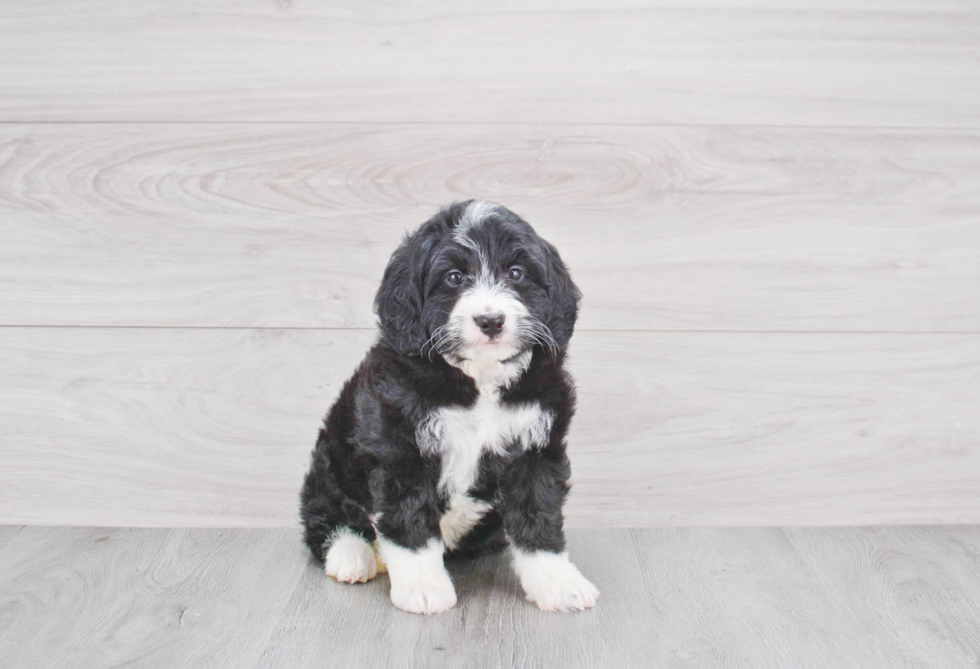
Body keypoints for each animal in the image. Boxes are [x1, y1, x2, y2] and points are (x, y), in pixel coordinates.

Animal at [300, 201, 596, 612]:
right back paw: (352, 554)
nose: (490, 321)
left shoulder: (536, 446)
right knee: (328, 515)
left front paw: (558, 582)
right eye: (454, 277)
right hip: (330, 459)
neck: (478, 377)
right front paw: (423, 586)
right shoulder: (400, 447)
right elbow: (410, 520)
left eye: (516, 273)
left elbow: (538, 514)